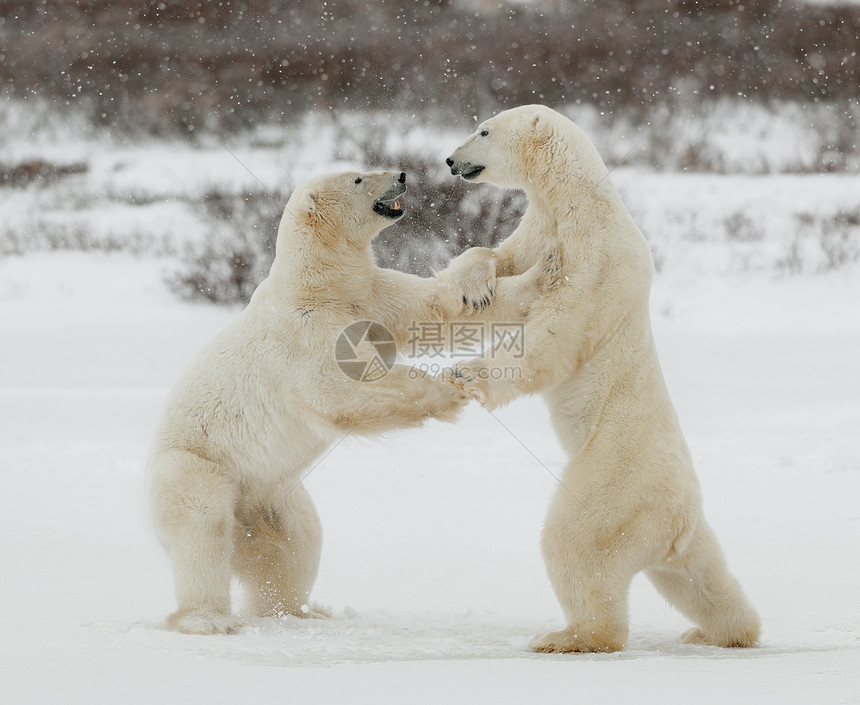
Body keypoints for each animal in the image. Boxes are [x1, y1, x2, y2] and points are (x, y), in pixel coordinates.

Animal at [146, 169, 552, 632]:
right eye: (358, 178)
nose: (401, 175)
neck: (320, 283)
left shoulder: (372, 295)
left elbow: (436, 309)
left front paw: (543, 269)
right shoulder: (305, 331)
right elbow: (338, 388)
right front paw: (449, 391)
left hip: (274, 494)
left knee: (297, 542)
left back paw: (301, 610)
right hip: (197, 467)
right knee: (203, 529)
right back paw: (208, 619)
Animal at [444, 107, 760, 652]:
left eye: (483, 130)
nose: (449, 159)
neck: (578, 203)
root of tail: (676, 516)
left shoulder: (595, 260)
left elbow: (555, 333)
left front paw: (469, 372)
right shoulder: (538, 226)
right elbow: (501, 259)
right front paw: (475, 285)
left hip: (616, 483)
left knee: (576, 541)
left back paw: (568, 636)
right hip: (679, 531)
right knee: (698, 577)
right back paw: (722, 631)